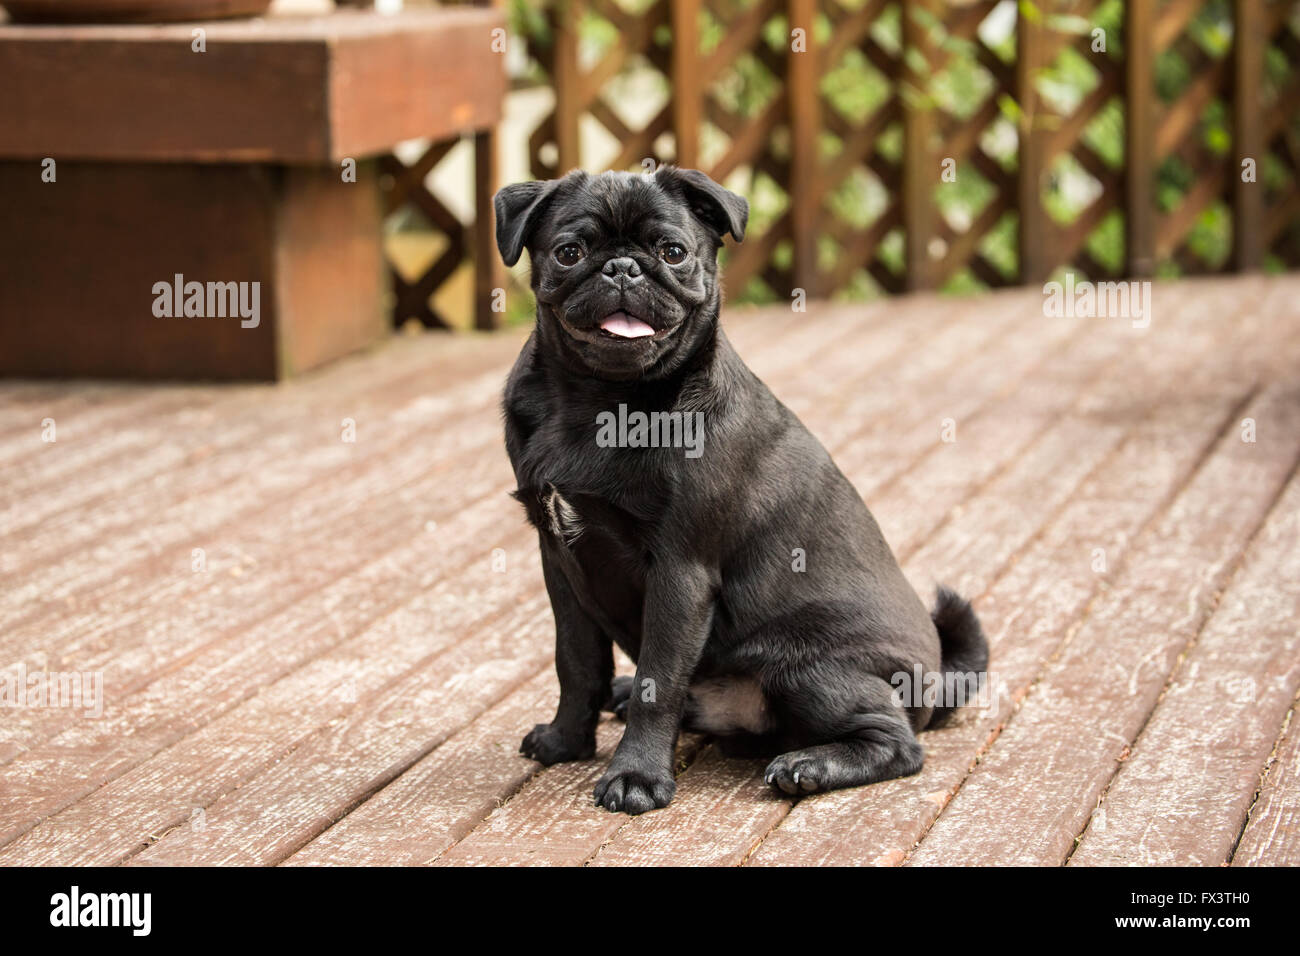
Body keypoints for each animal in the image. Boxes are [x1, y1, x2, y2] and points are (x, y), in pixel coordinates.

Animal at [493, 164, 982, 816]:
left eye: (673, 253)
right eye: (569, 252)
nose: (622, 267)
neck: (600, 402)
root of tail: (933, 679)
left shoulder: (680, 571)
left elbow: (658, 683)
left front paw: (636, 777)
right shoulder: (562, 563)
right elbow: (575, 662)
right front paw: (566, 741)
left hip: (807, 664)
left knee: (898, 742)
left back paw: (809, 766)